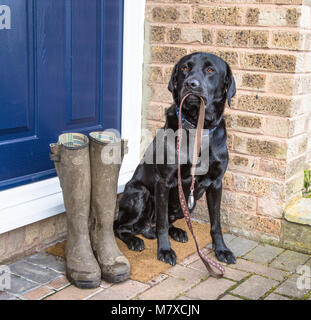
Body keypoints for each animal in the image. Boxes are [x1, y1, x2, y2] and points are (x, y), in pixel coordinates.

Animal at [114, 52, 236, 266]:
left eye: (210, 70)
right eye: (185, 68)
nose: (191, 84)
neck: (198, 126)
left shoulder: (216, 183)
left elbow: (216, 222)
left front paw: (221, 249)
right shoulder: (164, 181)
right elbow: (162, 223)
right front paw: (164, 250)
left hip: (188, 204)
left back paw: (177, 231)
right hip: (139, 192)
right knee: (122, 227)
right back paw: (135, 240)